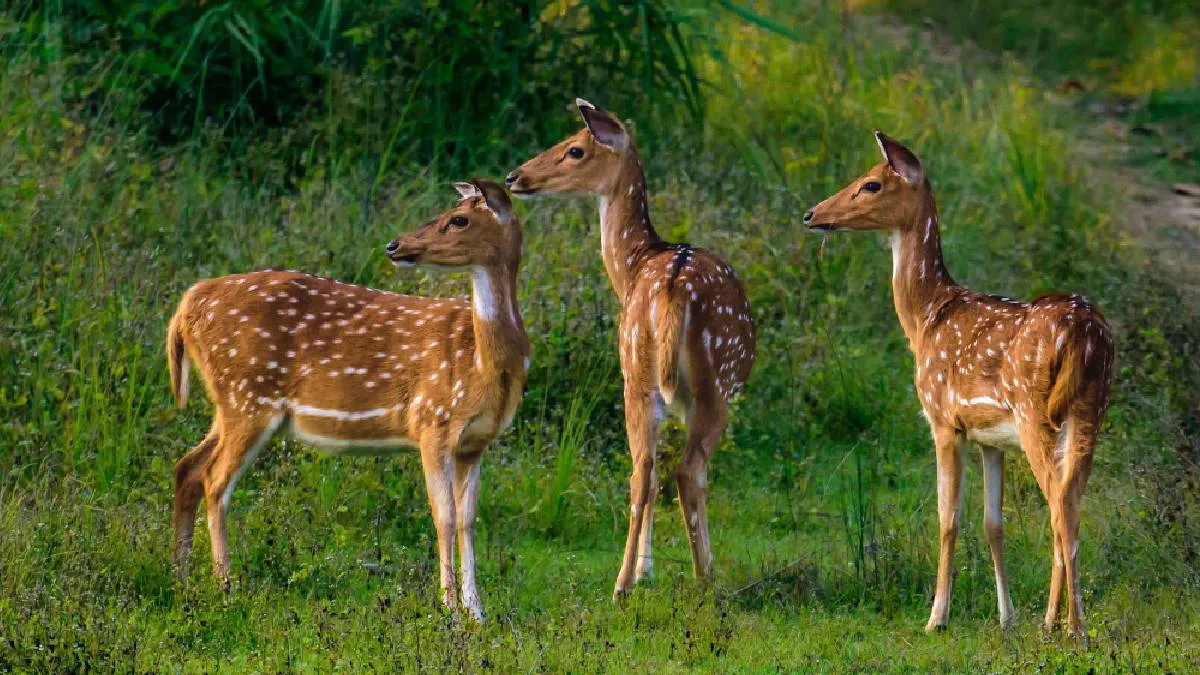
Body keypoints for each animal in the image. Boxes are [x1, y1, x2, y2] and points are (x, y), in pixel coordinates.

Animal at [166, 180, 528, 621]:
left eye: (458, 218)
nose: (395, 245)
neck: (485, 363)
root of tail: (186, 306)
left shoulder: (475, 442)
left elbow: (468, 520)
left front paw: (477, 613)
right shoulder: (432, 420)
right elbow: (443, 516)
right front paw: (450, 612)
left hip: (230, 402)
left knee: (187, 467)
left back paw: (183, 579)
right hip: (247, 395)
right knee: (215, 480)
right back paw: (225, 588)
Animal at [506, 99, 756, 599]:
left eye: (575, 149)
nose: (514, 176)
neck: (633, 266)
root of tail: (673, 289)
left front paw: (645, 571)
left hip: (636, 373)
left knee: (643, 470)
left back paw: (622, 584)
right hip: (714, 382)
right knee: (686, 470)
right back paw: (705, 578)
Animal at [804, 132, 1115, 638]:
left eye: (871, 184)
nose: (812, 214)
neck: (926, 319)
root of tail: (1085, 333)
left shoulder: (944, 418)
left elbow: (947, 518)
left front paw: (936, 617)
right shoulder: (990, 437)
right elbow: (994, 523)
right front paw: (1007, 617)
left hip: (1035, 413)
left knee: (1060, 506)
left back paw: (1074, 628)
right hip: (1090, 409)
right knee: (1068, 503)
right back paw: (1051, 621)